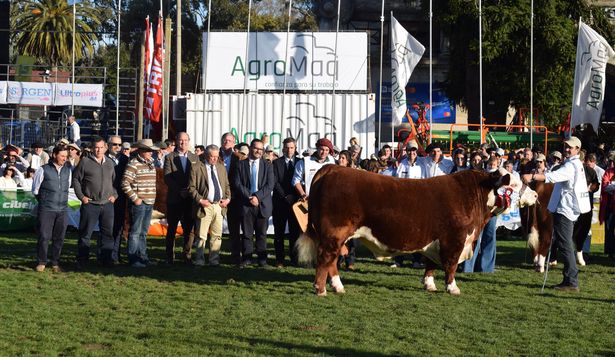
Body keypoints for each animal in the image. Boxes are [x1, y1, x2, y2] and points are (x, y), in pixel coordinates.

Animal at [296, 165, 536, 296]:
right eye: (514, 184)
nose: (534, 195)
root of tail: (332, 168)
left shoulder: (435, 240)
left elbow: (430, 264)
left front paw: (429, 285)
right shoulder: (455, 240)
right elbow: (450, 266)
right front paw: (453, 288)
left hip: (337, 236)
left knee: (332, 260)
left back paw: (338, 287)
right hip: (334, 233)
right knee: (325, 258)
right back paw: (321, 289)